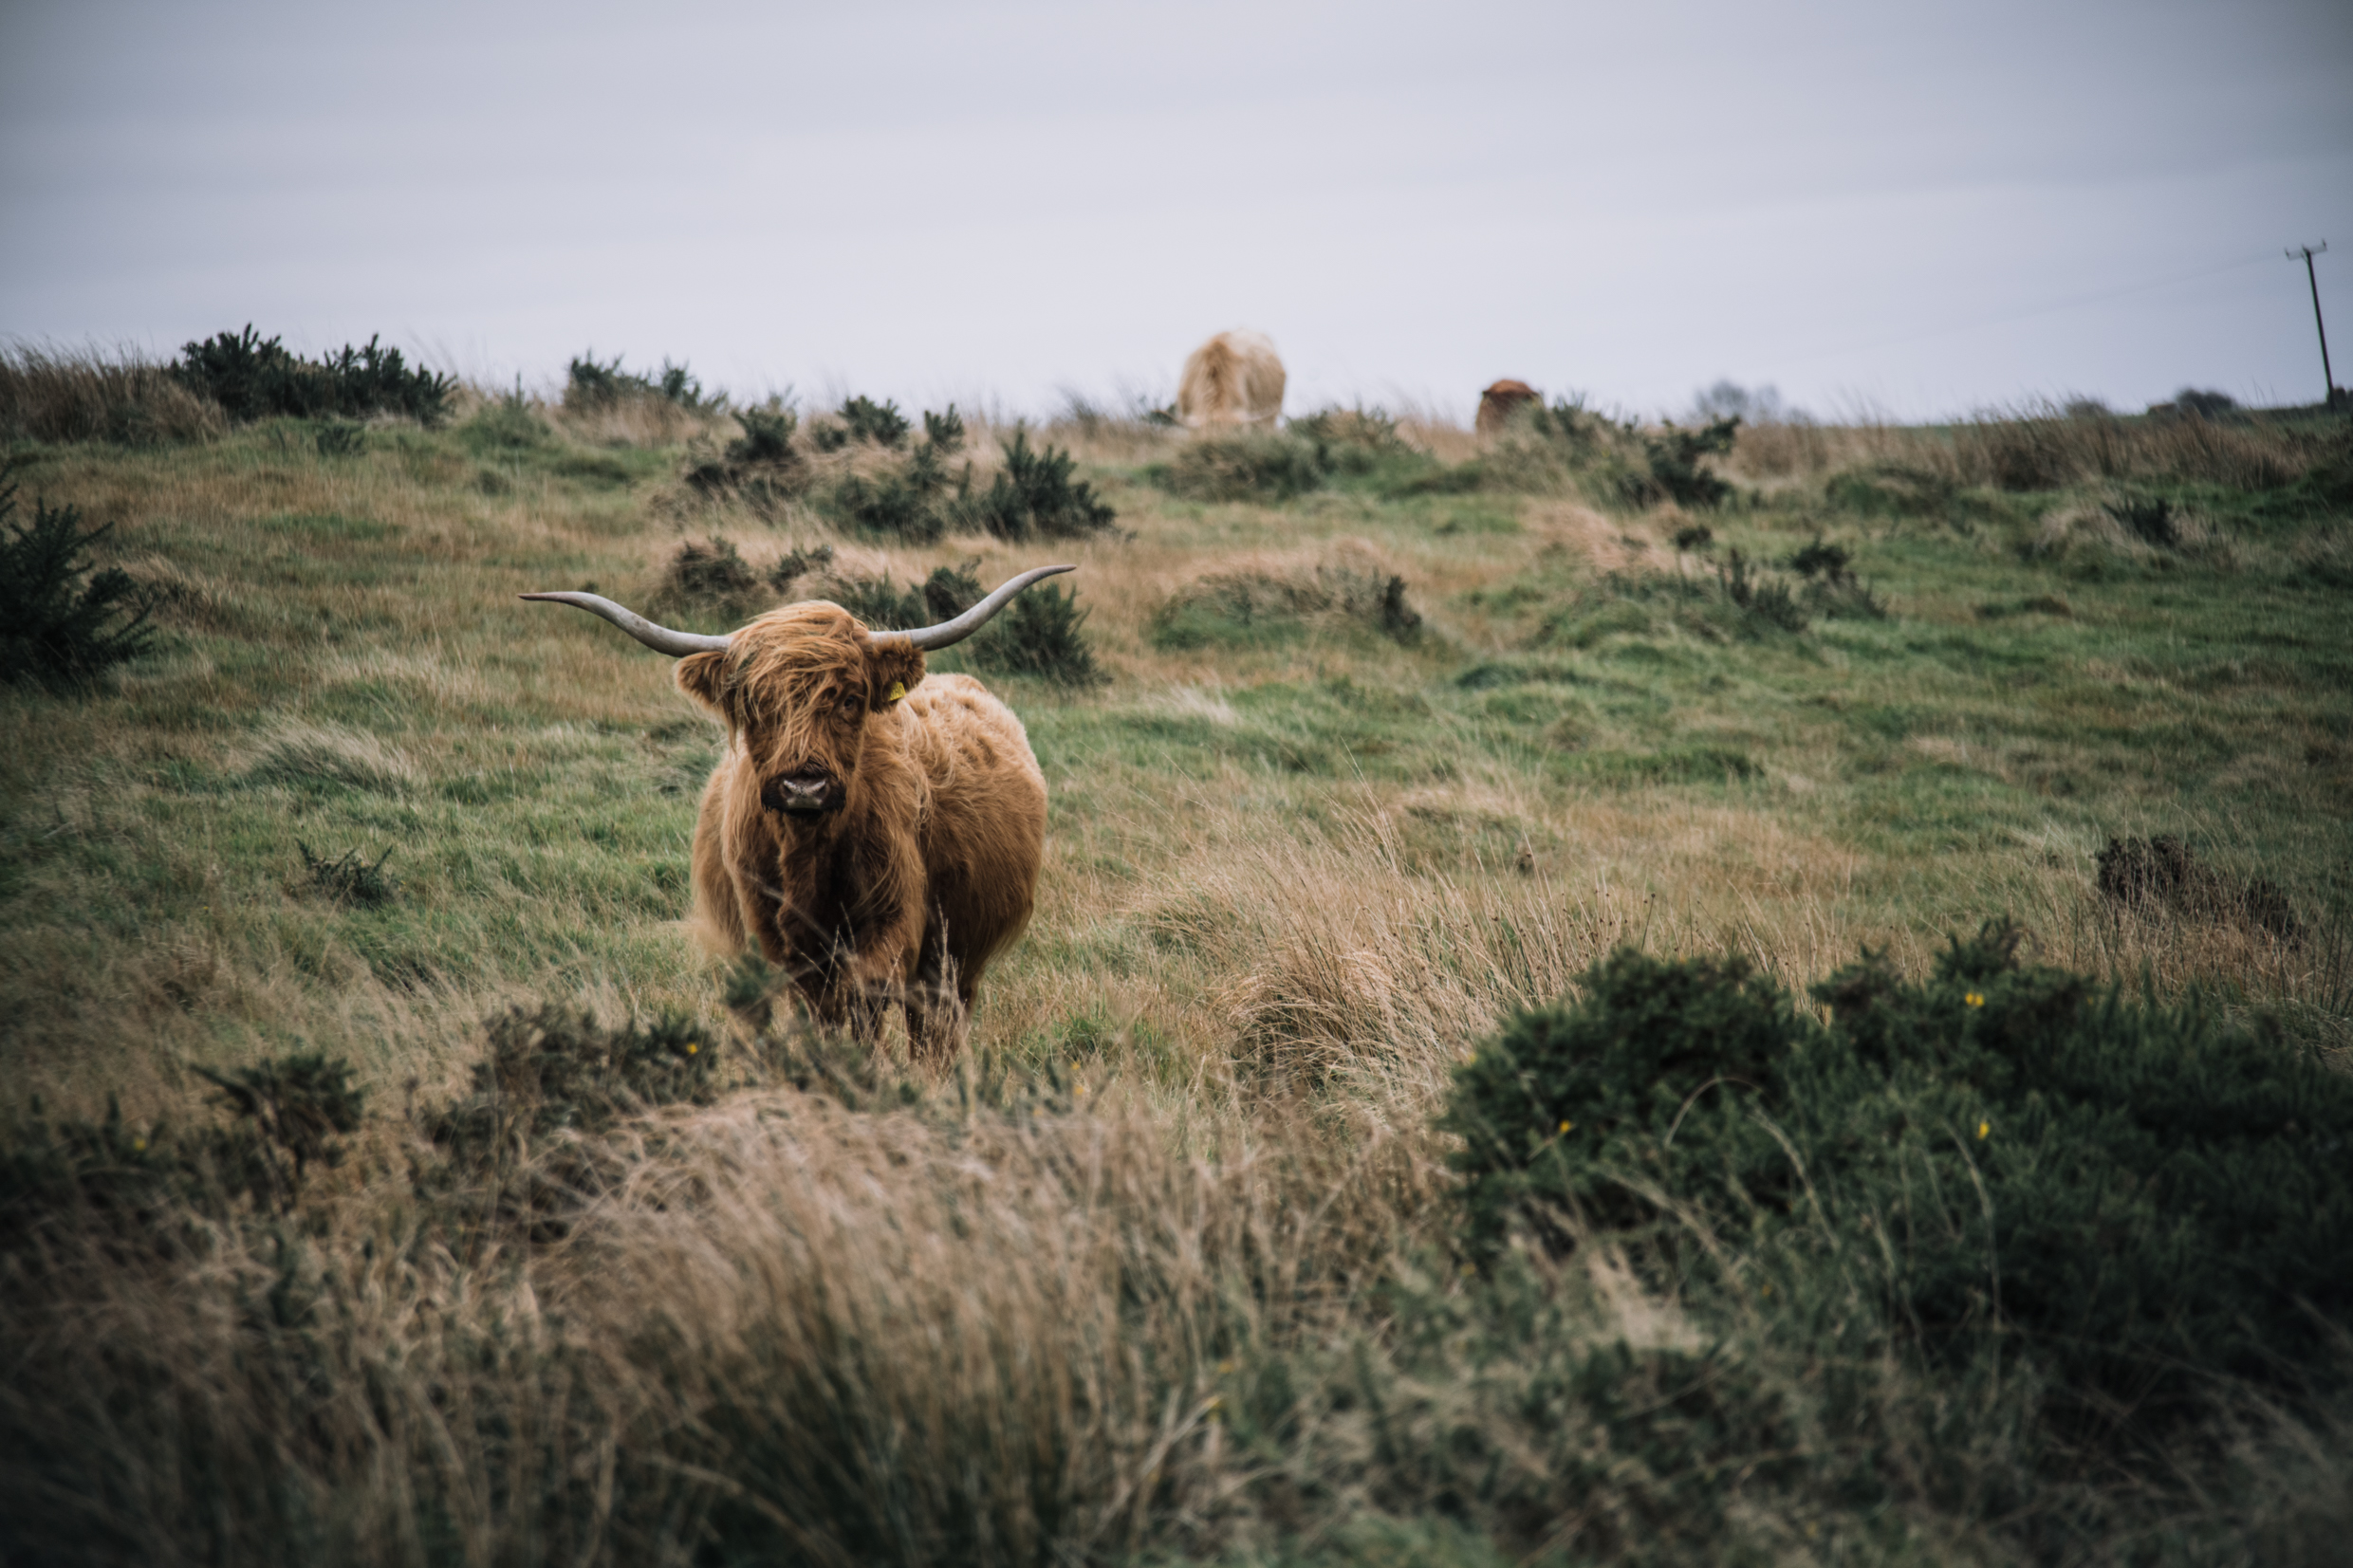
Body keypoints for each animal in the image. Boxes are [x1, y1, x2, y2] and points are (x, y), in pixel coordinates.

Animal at [521, 566, 1071, 1062]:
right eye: (756, 704)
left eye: (850, 699)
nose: (804, 784)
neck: (810, 851)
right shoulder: (770, 931)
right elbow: (817, 1010)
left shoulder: (896, 918)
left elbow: (865, 997)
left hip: (959, 952)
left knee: (937, 1021)